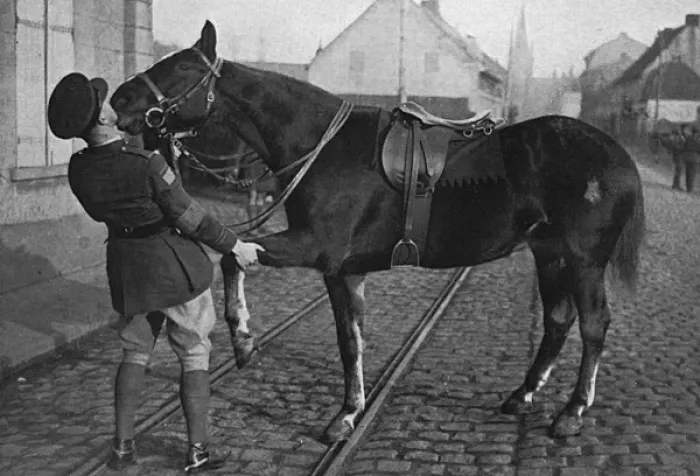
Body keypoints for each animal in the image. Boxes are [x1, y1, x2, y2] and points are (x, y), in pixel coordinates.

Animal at [110, 21, 645, 441]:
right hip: (548, 253)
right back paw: (523, 394)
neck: (322, 146)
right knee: (557, 321)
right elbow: (351, 340)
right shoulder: (344, 271)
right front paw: (349, 413)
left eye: (183, 67)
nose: (120, 97)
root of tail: (617, 155)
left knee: (593, 324)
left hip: (583, 261)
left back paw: (572, 413)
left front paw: (243, 340)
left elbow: (233, 256)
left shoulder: (317, 249)